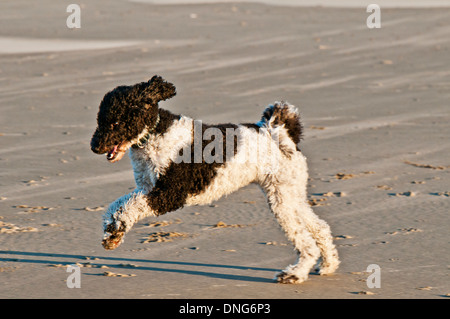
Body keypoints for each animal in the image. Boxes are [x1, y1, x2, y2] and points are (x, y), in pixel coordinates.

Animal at [90, 75, 338, 284]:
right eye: (100, 119)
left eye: (116, 122)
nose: (95, 147)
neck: (154, 133)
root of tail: (277, 133)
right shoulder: (147, 188)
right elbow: (119, 205)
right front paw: (112, 232)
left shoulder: (169, 195)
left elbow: (130, 207)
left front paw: (115, 229)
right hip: (289, 194)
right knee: (320, 227)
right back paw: (328, 265)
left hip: (282, 200)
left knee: (306, 241)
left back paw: (295, 274)